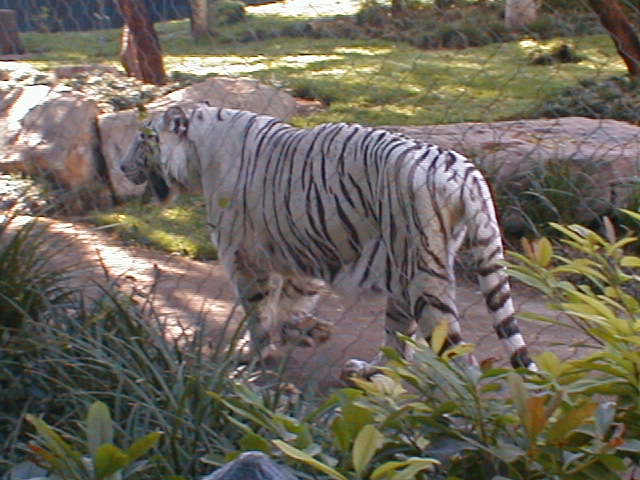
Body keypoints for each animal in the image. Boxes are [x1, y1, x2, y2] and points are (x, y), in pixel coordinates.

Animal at [119, 104, 537, 379]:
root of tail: (464, 169)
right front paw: (300, 334)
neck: (198, 153)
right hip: (406, 272)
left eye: (143, 138)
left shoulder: (244, 256)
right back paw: (369, 371)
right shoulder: (298, 251)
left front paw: (257, 355)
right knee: (398, 340)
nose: (121, 167)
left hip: (422, 276)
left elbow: (258, 312)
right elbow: (290, 304)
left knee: (460, 358)